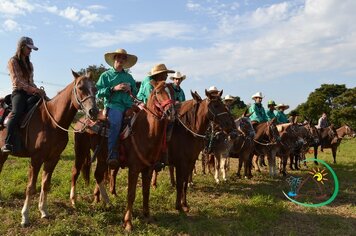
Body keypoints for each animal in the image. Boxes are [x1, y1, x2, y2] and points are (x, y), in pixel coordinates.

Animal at [0, 71, 98, 228]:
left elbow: (45, 184)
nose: (93, 111)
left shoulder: (53, 158)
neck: (52, 121)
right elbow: (31, 187)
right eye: (80, 87)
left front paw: (43, 211)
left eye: (95, 89)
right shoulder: (36, 159)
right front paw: (25, 217)